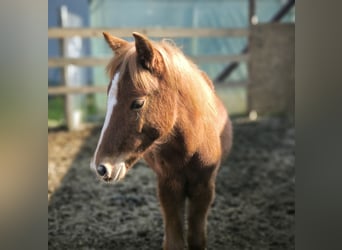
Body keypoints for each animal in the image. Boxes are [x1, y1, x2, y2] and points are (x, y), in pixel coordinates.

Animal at [90, 32, 232, 249]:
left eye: (138, 103)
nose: (101, 168)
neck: (191, 146)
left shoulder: (204, 188)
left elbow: (196, 239)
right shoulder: (168, 187)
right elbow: (174, 241)